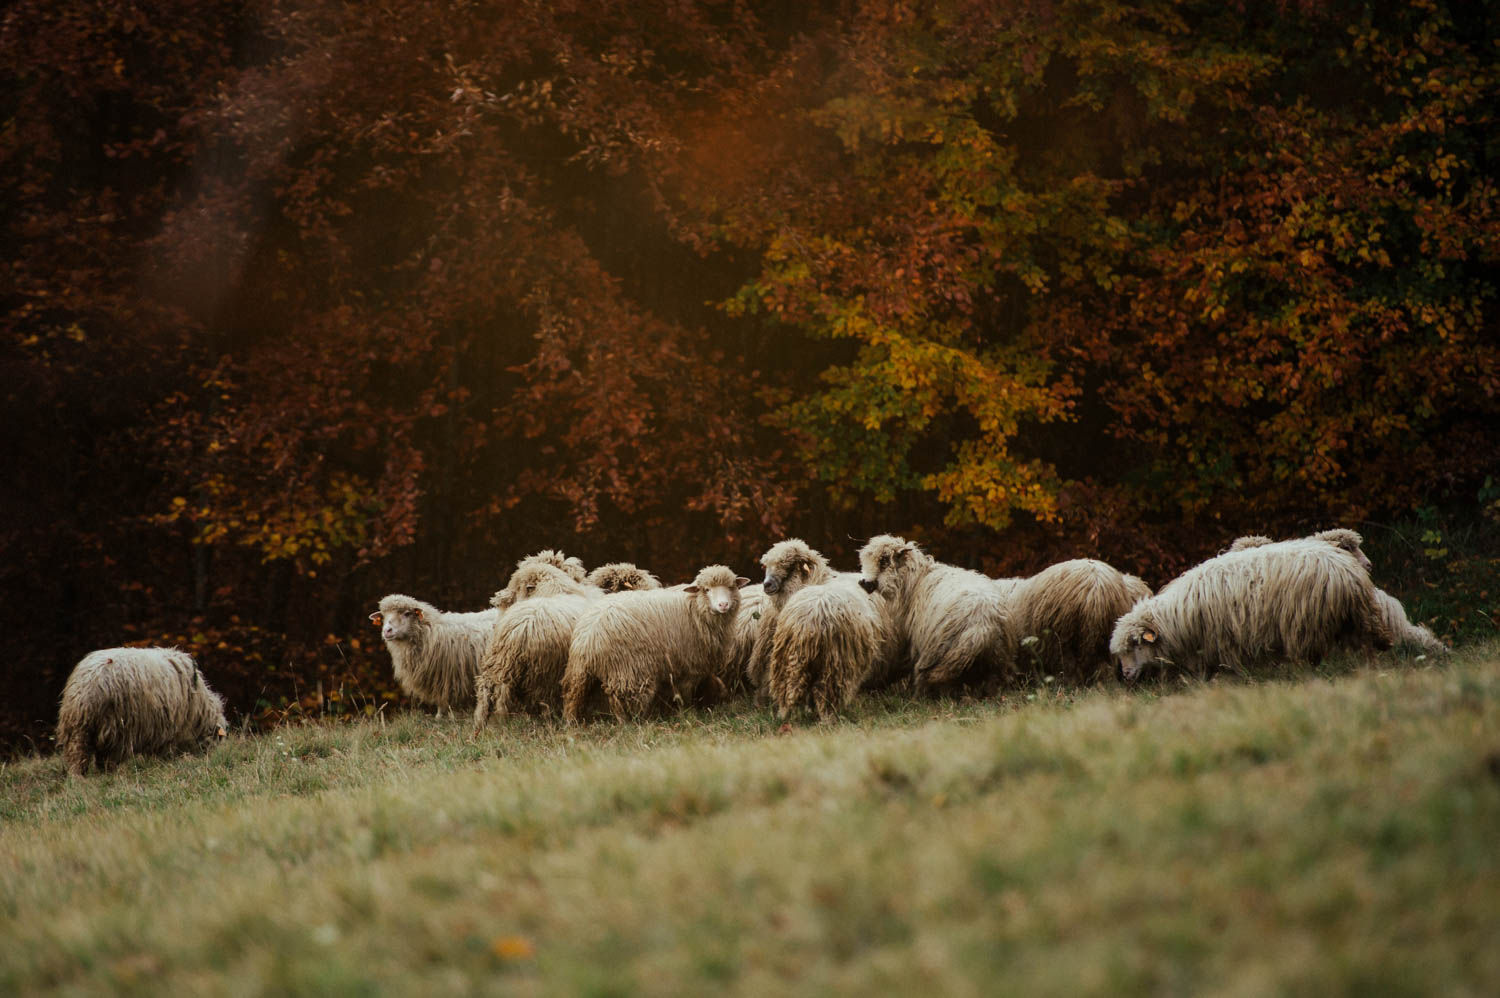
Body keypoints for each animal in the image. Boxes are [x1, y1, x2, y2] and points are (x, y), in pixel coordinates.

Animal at [57, 645, 228, 780]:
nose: (210, 760)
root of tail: (87, 690)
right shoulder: (168, 730)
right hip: (117, 728)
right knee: (107, 759)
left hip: (78, 731)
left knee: (78, 757)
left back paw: (79, 779)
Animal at [564, 564, 750, 720]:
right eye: (707, 589)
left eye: (731, 587)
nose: (723, 604)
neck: (694, 608)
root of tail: (591, 637)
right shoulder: (688, 666)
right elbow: (686, 694)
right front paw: (688, 713)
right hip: (629, 672)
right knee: (623, 702)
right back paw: (634, 723)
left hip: (579, 672)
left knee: (573, 697)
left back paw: (573, 723)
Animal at [858, 537, 1008, 693]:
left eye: (884, 561)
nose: (863, 582)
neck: (916, 581)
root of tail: (982, 622)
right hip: (996, 655)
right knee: (993, 678)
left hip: (937, 651)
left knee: (929, 676)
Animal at [1110, 537, 1386, 684]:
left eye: (1136, 644)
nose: (1126, 673)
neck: (1178, 614)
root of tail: (1349, 572)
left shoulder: (1223, 641)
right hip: (1355, 618)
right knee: (1367, 646)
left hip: (1304, 624)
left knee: (1309, 659)